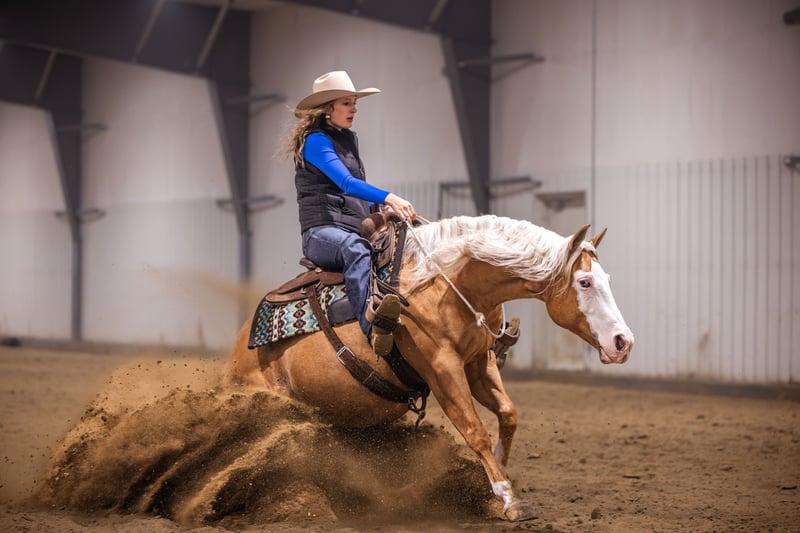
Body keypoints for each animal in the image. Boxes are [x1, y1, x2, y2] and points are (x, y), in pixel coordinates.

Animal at [226, 214, 634, 522]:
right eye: (584, 282)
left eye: (608, 279)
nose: (623, 342)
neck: (447, 285)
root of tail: (239, 348)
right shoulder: (442, 370)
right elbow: (474, 431)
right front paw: (508, 498)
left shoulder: (478, 363)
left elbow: (508, 413)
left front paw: (495, 482)